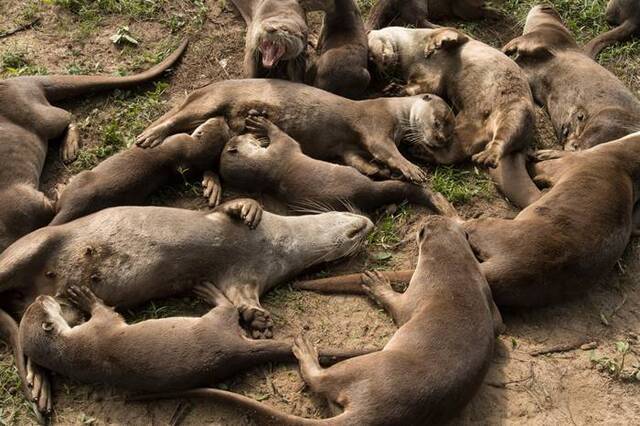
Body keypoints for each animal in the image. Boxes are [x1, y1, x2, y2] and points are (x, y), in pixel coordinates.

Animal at [52, 116, 232, 226]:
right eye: (222, 124)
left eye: (213, 121)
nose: (223, 117)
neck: (190, 151)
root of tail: (75, 205)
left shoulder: (179, 139)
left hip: (83, 177)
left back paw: (61, 186)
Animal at [132, 216, 502, 426]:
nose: (428, 216)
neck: (454, 268)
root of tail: (379, 413)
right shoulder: (484, 291)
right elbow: (498, 324)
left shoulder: (419, 291)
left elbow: (399, 308)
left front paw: (375, 282)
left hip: (363, 368)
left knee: (319, 379)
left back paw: (304, 348)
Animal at [135, 78, 456, 183]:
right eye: (438, 123)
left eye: (450, 133)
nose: (440, 141)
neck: (394, 112)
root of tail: (207, 88)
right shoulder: (375, 125)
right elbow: (385, 150)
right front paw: (411, 169)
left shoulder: (347, 148)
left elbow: (356, 160)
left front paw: (377, 171)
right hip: (212, 100)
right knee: (177, 118)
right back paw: (148, 137)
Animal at [221, 115, 460, 216]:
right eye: (243, 137)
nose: (247, 133)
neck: (264, 163)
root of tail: (366, 193)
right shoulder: (282, 149)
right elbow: (282, 136)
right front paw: (264, 124)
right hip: (353, 174)